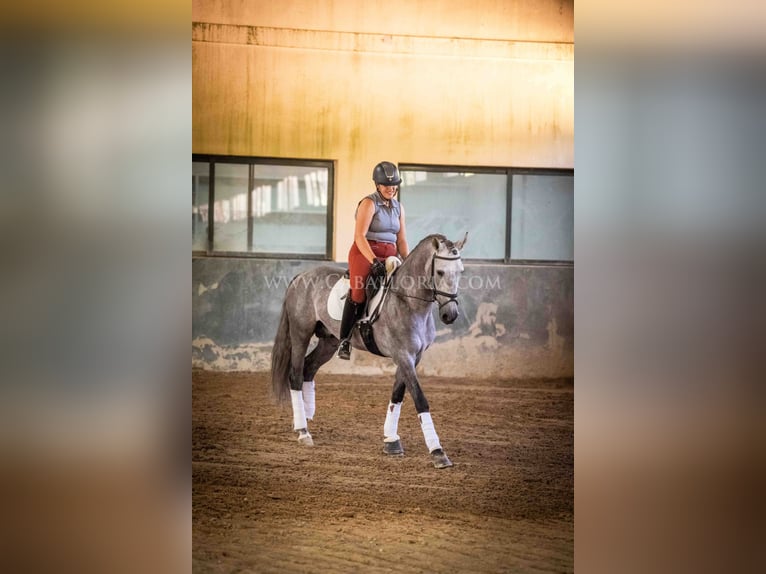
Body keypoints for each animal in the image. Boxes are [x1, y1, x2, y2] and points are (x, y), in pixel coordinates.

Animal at [272, 233, 472, 468]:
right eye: (439, 272)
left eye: (460, 271)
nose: (451, 315)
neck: (408, 302)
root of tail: (301, 276)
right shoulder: (402, 355)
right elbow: (419, 398)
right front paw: (438, 452)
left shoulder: (413, 357)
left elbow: (398, 394)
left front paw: (391, 441)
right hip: (300, 334)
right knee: (295, 375)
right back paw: (303, 431)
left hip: (329, 341)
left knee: (309, 369)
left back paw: (304, 418)